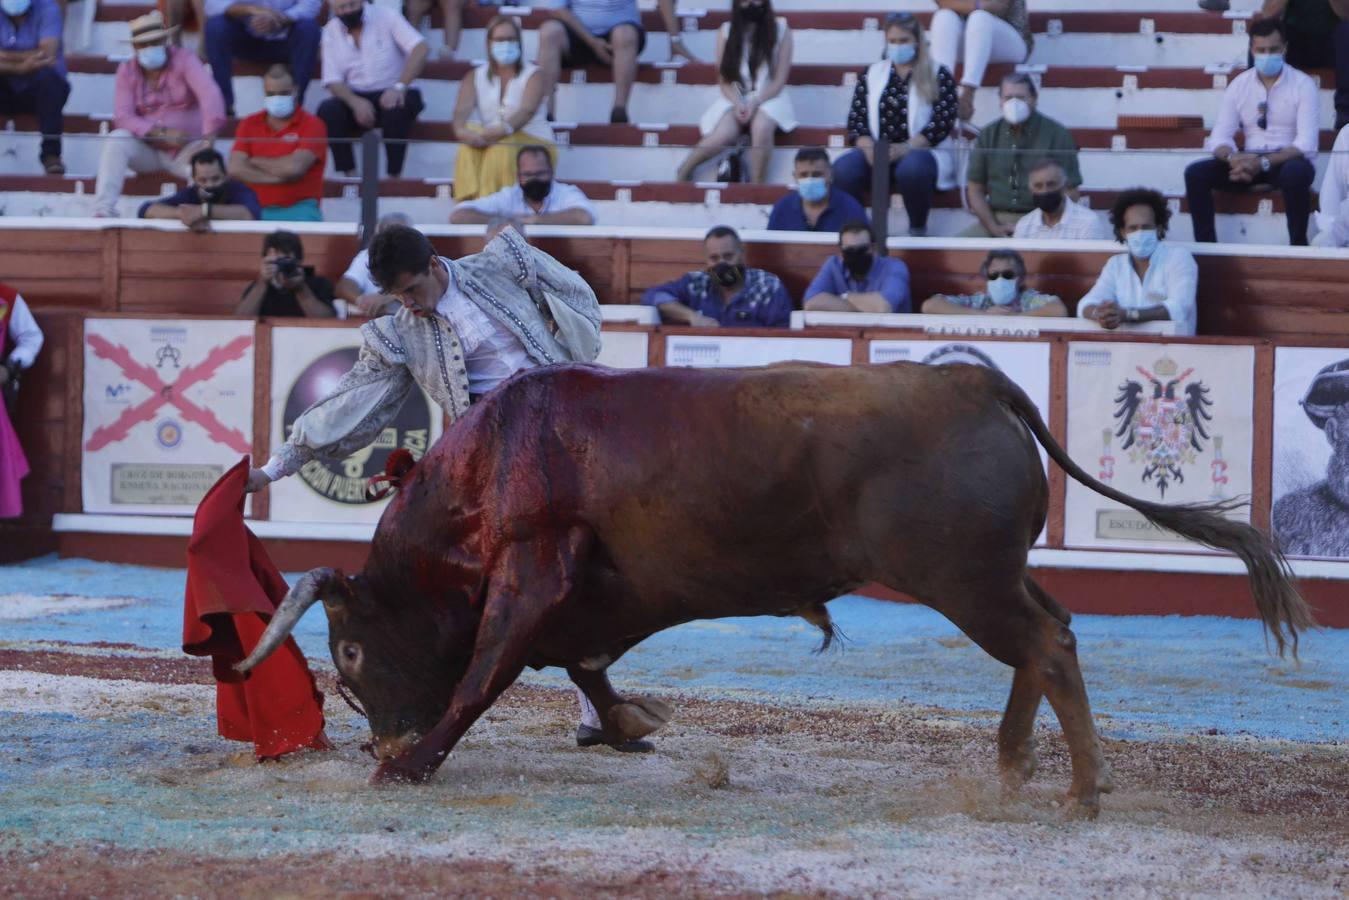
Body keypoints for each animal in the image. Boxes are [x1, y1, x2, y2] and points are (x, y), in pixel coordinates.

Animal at [237, 358, 1311, 814]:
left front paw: (412, 768)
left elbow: (487, 670)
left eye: (349, 650)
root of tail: (973, 381)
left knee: (1045, 644)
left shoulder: (534, 570)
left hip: (962, 580)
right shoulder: (586, 599)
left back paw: (1082, 790)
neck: (488, 461)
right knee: (1052, 630)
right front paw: (627, 722)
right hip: (989, 576)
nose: (382, 738)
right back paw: (1013, 764)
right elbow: (578, 665)